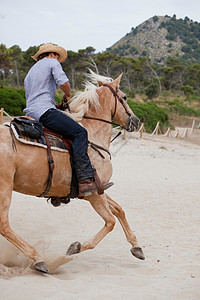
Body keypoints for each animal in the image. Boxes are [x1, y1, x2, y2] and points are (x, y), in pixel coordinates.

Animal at [0, 71, 144, 274]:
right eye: (124, 97)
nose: (136, 121)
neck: (92, 135)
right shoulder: (93, 193)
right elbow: (110, 222)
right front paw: (76, 247)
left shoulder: (98, 189)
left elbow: (119, 210)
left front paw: (137, 247)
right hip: (4, 187)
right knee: (4, 225)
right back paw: (38, 259)